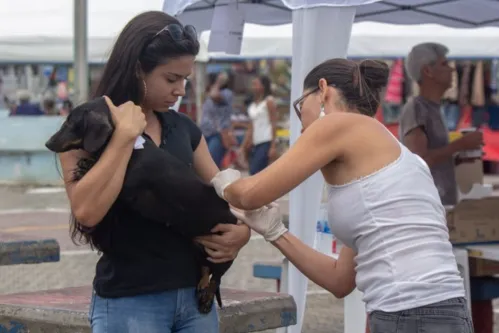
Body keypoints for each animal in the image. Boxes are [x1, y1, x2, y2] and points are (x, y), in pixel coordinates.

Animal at [44, 95, 237, 312]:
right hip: (198, 247)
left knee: (216, 276)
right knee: (205, 270)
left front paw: (87, 165)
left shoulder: (127, 182)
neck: (132, 148)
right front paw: (84, 164)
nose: (47, 143)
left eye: (70, 122)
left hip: (223, 252)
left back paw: (206, 298)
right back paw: (202, 288)